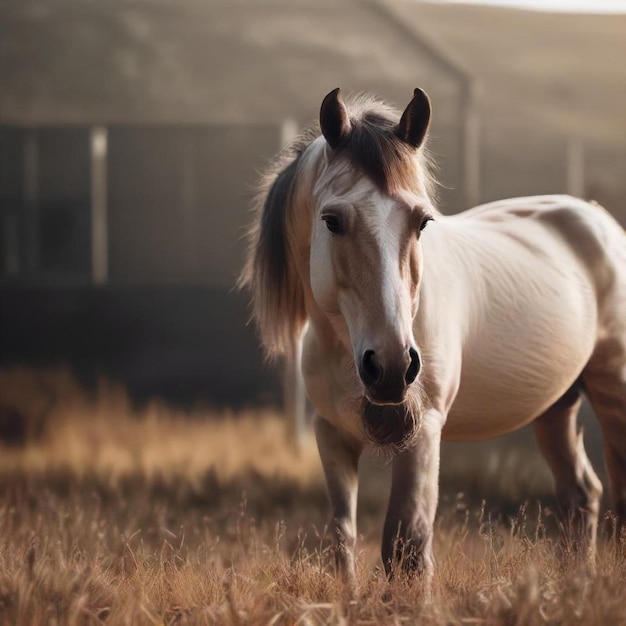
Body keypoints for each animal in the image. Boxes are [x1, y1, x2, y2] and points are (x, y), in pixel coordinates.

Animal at [239, 86, 624, 584]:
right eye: (332, 220)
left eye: (422, 222)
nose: (392, 366)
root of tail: (598, 220)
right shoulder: (332, 434)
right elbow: (341, 539)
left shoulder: (423, 433)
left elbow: (406, 548)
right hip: (556, 407)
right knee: (581, 494)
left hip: (612, 387)